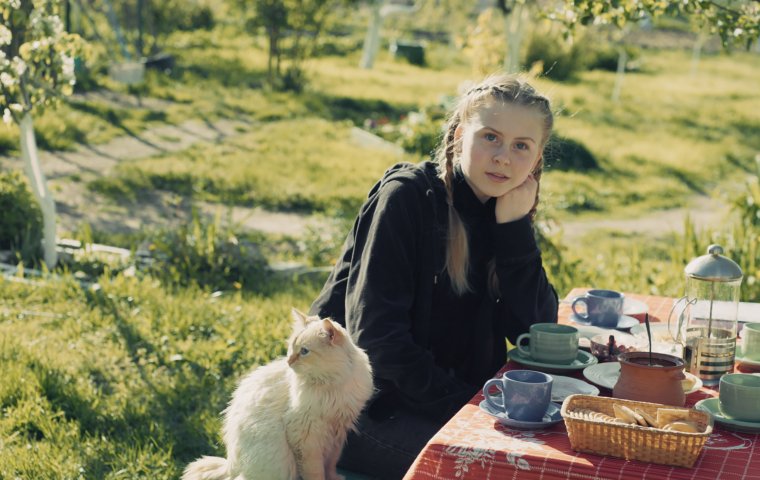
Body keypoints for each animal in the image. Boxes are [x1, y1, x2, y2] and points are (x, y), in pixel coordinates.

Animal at [184, 310, 374, 480]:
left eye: (304, 351)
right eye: (291, 348)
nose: (289, 361)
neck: (331, 385)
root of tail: (230, 464)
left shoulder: (337, 434)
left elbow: (330, 464)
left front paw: (334, 478)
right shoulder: (306, 438)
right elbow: (315, 472)